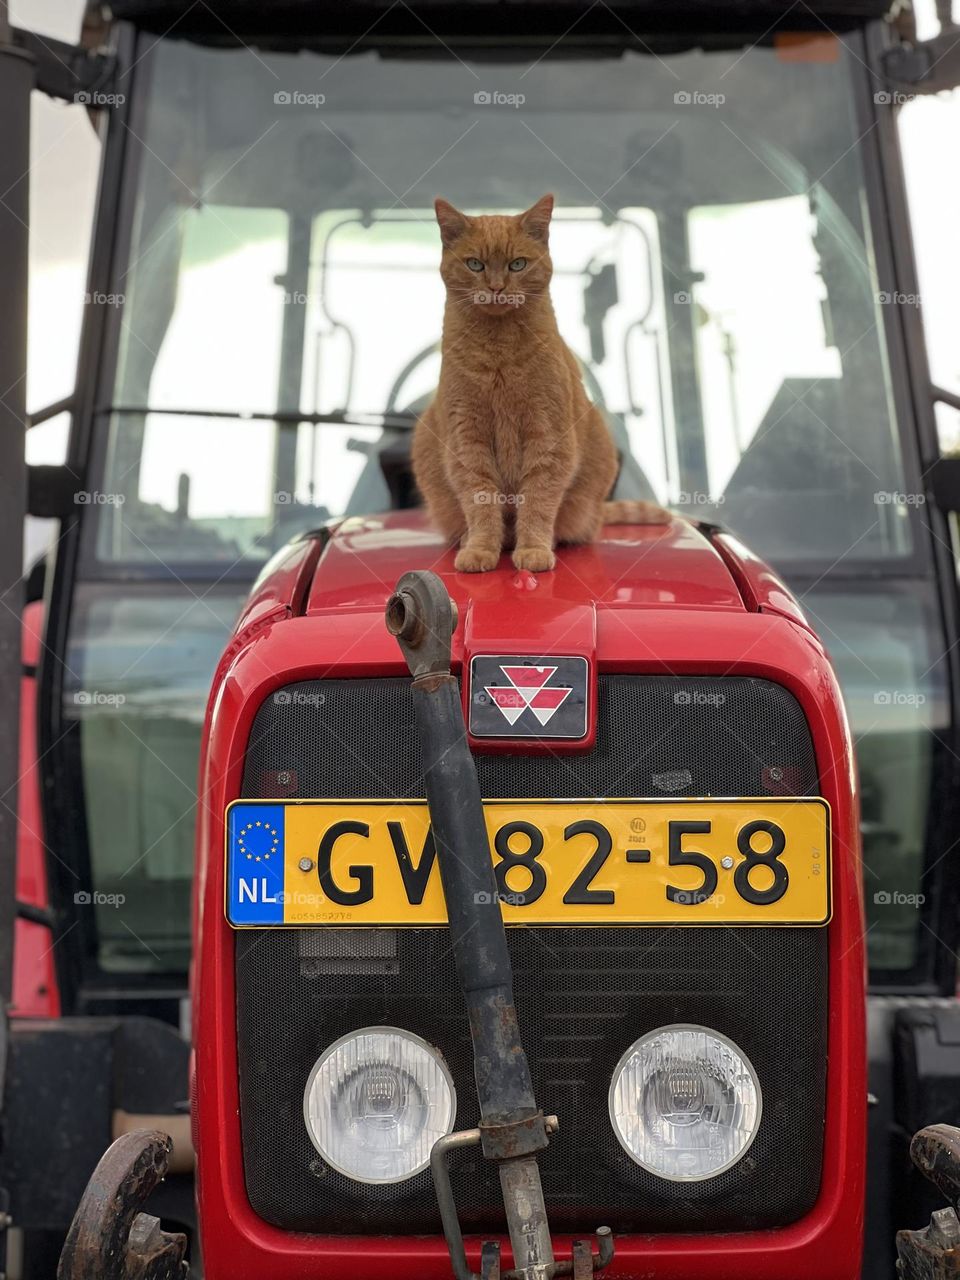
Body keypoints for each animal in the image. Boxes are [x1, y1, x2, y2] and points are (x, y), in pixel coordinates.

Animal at [412, 192, 670, 573]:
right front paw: (481, 549)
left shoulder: (547, 436)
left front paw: (533, 550)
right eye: (475, 264)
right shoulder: (467, 441)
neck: (499, 353)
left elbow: (537, 500)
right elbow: (480, 500)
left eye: (517, 264)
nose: (496, 288)